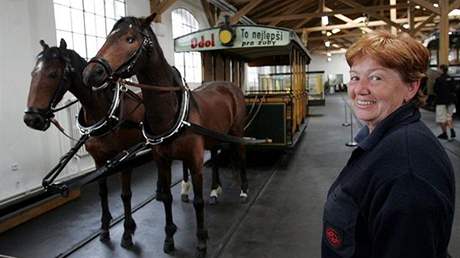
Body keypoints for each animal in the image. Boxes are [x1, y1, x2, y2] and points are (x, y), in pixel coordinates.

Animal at [22, 38, 188, 248]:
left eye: (53, 74)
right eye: (33, 74)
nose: (31, 119)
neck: (106, 112)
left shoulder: (125, 160)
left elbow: (126, 195)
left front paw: (127, 232)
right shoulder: (99, 160)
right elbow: (102, 192)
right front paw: (104, 228)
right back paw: (159, 191)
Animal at [82, 13, 248, 258]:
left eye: (130, 39)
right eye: (108, 37)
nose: (91, 73)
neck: (171, 111)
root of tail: (229, 85)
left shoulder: (195, 160)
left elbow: (198, 202)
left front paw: (201, 242)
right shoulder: (162, 160)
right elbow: (167, 198)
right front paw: (169, 239)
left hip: (236, 131)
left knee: (240, 156)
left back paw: (243, 191)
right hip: (214, 136)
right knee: (217, 157)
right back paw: (215, 190)